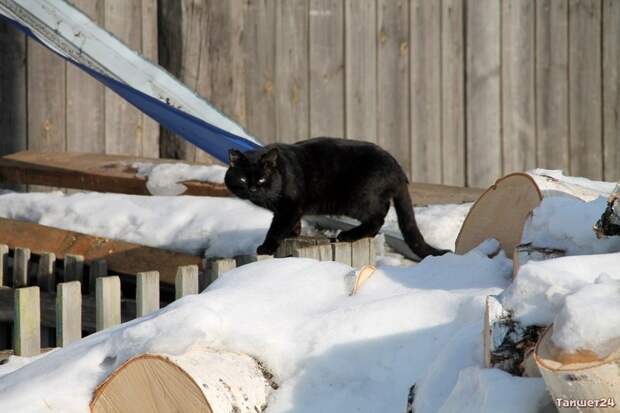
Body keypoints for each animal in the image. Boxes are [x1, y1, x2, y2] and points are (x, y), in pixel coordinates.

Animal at [225, 137, 448, 256]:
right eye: (243, 179)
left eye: (262, 179)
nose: (253, 189)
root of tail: (398, 168)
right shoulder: (291, 210)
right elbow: (292, 224)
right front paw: (293, 234)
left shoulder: (289, 207)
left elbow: (276, 228)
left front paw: (266, 247)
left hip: (359, 199)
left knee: (378, 217)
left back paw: (349, 235)